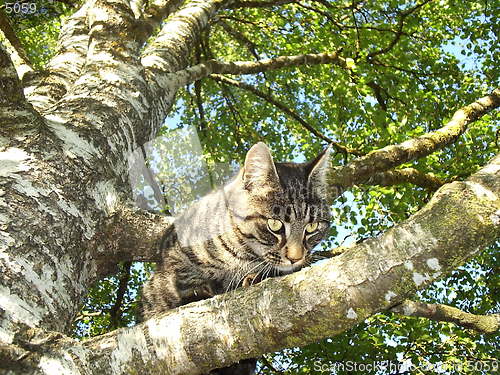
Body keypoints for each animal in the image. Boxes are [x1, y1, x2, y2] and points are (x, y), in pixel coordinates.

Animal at [142, 142, 332, 374]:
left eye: (312, 227)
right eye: (275, 224)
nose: (296, 258)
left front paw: (256, 277)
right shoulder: (166, 270)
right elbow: (179, 284)